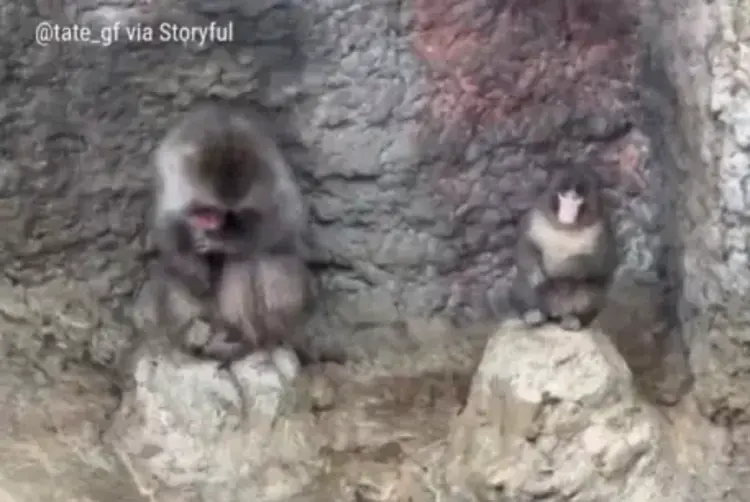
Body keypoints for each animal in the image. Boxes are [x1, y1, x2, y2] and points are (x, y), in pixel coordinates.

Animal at [148, 102, 314, 366]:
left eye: (235, 215)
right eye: (206, 210)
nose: (212, 225)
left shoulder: (275, 182)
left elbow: (286, 229)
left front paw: (227, 243)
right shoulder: (171, 185)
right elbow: (167, 237)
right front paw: (196, 268)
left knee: (258, 261)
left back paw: (244, 338)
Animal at [509, 168, 619, 331]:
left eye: (576, 198)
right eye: (564, 195)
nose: (567, 211)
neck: (565, 226)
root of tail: (554, 313)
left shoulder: (602, 228)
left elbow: (603, 264)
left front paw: (564, 268)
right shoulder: (536, 215)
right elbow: (526, 245)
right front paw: (536, 273)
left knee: (589, 292)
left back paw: (574, 319)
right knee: (524, 283)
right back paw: (532, 313)